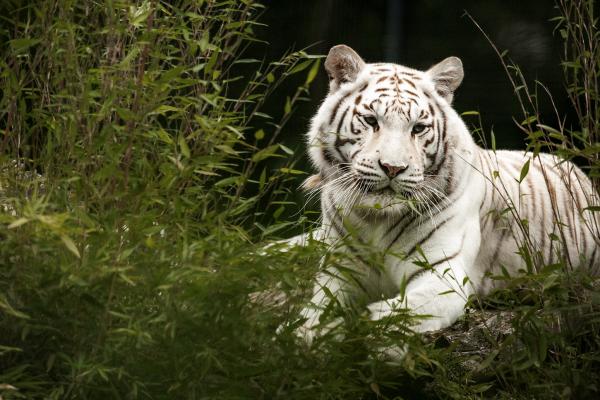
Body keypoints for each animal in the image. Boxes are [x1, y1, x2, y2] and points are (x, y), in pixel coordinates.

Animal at [292, 43, 600, 344]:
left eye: (418, 128)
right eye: (370, 120)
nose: (393, 168)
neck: (376, 220)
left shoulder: (442, 277)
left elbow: (381, 317)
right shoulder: (337, 272)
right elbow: (309, 320)